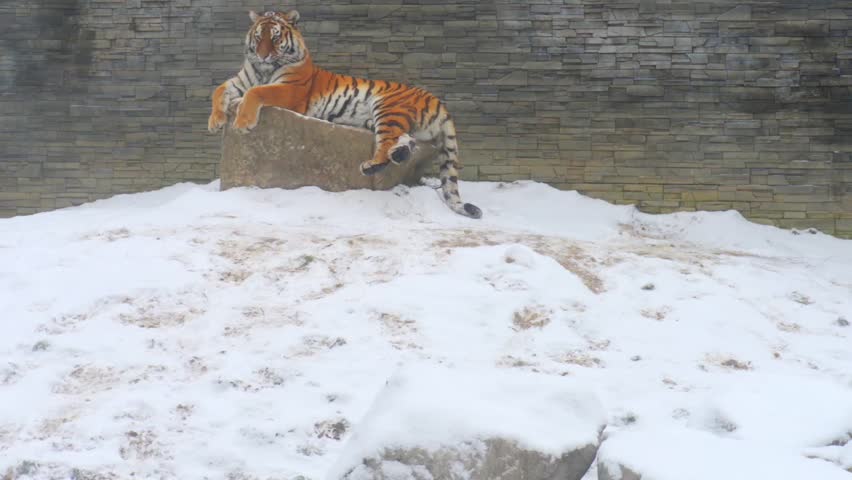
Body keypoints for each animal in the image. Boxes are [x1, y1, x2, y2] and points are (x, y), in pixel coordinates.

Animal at [208, 9, 482, 219]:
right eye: (258, 36)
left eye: (275, 37)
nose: (263, 55)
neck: (262, 69)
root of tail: (436, 99)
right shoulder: (239, 82)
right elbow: (219, 89)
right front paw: (215, 121)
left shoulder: (289, 91)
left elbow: (256, 92)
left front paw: (242, 122)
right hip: (392, 122)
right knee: (406, 141)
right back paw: (399, 154)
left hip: (387, 109)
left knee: (387, 144)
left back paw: (371, 166)